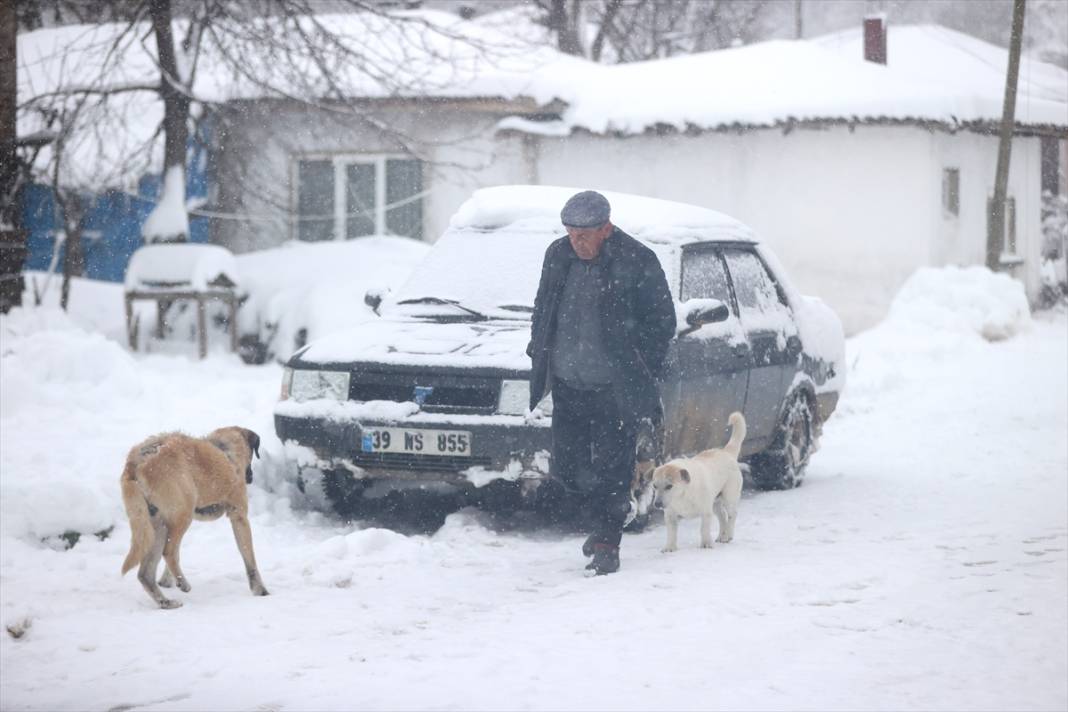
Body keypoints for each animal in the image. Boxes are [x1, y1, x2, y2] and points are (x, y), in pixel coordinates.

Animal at [119, 426, 269, 610]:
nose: (250, 477)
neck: (225, 450)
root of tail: (136, 462)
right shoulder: (239, 517)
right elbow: (250, 559)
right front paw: (260, 589)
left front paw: (166, 581)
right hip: (183, 514)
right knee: (169, 551)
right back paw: (183, 583)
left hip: (156, 526)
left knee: (146, 573)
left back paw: (166, 602)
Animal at [645, 412, 747, 550]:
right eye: (655, 486)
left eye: (669, 486)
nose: (657, 504)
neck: (682, 496)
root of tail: (726, 452)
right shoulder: (670, 515)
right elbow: (671, 533)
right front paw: (670, 548)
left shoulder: (705, 512)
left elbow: (704, 529)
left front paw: (706, 544)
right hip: (715, 503)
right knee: (722, 517)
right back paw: (721, 536)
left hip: (729, 497)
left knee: (732, 515)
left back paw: (728, 536)